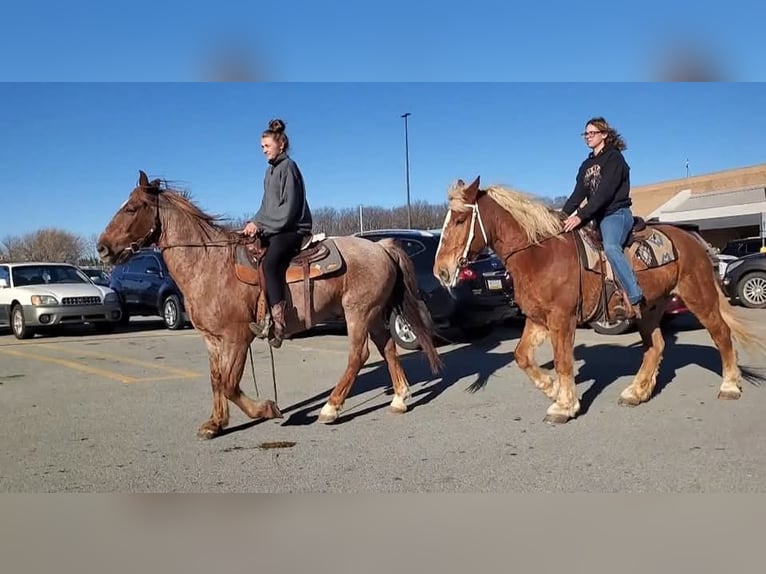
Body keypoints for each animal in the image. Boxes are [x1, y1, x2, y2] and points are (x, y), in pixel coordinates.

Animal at [97, 171, 444, 440]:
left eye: (132, 208)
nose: (101, 248)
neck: (209, 265)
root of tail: (381, 247)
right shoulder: (212, 340)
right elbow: (215, 380)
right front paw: (215, 423)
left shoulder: (238, 337)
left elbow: (230, 384)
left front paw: (267, 409)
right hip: (372, 314)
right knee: (388, 348)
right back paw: (399, 399)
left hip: (357, 313)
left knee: (358, 356)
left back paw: (330, 408)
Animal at [436, 178, 764, 426]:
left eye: (461, 220)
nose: (441, 271)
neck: (540, 254)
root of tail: (692, 239)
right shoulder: (538, 319)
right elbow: (521, 356)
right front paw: (552, 389)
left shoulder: (562, 318)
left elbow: (564, 361)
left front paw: (564, 405)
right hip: (650, 307)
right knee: (655, 346)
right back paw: (636, 392)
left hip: (698, 295)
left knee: (721, 333)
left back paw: (729, 386)